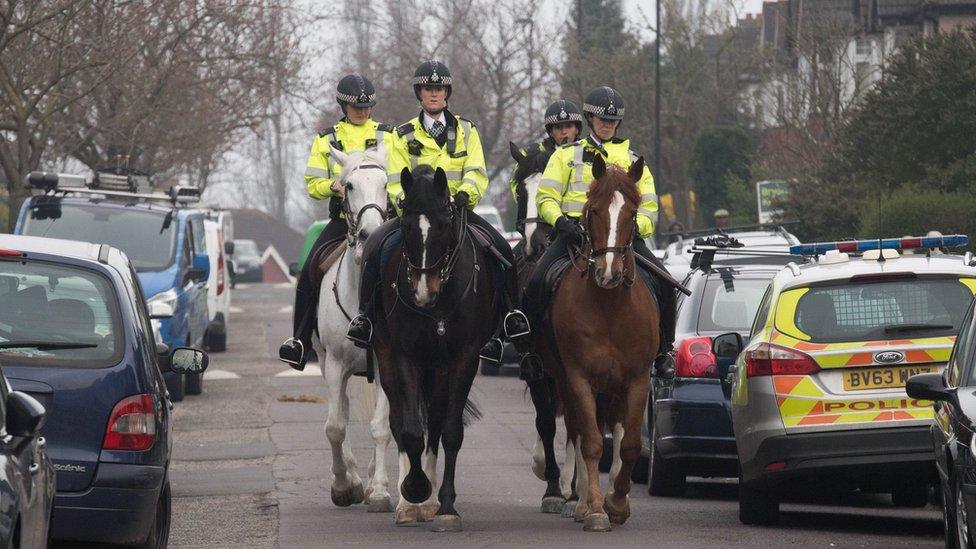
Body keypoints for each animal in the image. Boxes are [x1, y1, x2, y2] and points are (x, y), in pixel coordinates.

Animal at [370, 164, 500, 532]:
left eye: (443, 224)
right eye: (405, 226)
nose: (422, 292)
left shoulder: (464, 358)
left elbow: (450, 431)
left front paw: (445, 507)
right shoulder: (405, 356)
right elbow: (411, 431)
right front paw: (414, 490)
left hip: (439, 368)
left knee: (438, 423)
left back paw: (429, 504)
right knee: (400, 422)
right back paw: (410, 503)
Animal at [536, 154, 660, 532]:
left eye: (632, 214)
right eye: (592, 210)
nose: (608, 272)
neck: (609, 309)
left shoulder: (637, 379)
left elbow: (630, 444)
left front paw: (617, 502)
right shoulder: (578, 378)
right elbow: (590, 442)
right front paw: (594, 509)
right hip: (565, 380)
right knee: (577, 432)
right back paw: (578, 502)